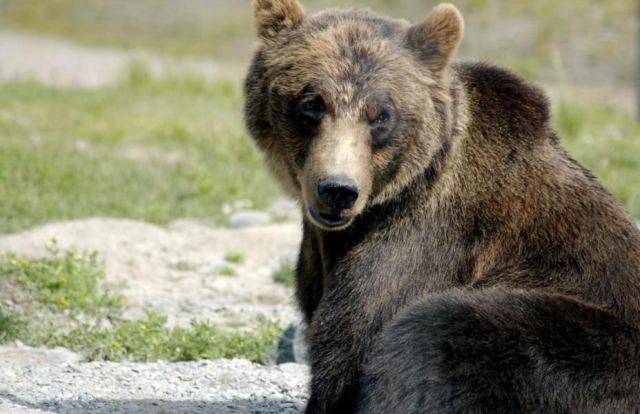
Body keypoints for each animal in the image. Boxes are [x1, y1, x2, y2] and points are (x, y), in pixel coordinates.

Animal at [244, 1, 640, 413]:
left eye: (381, 114)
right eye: (312, 103)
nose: (338, 189)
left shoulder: (425, 243)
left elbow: (355, 341)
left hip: (595, 349)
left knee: (440, 329)